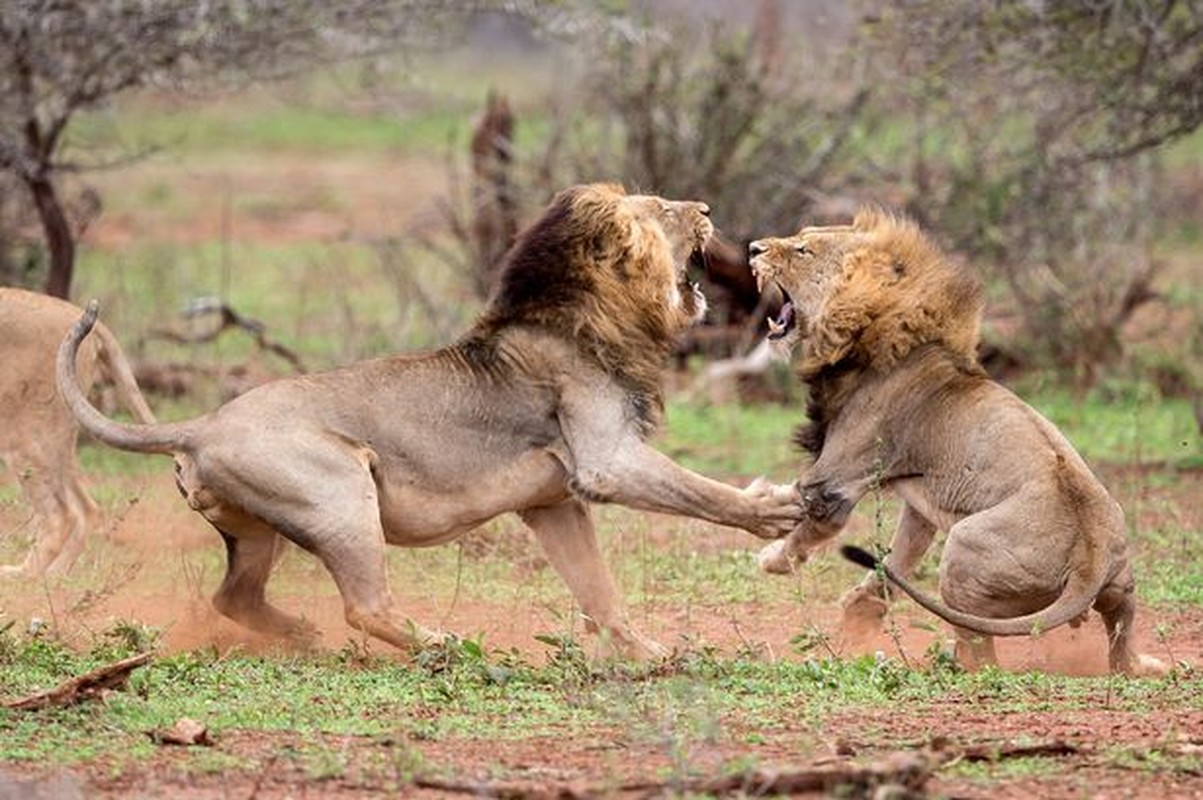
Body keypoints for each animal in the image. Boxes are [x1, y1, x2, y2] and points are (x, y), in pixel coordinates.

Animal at [54, 184, 798, 659]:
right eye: (664, 210)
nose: (707, 209)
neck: (596, 314)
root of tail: (200, 425)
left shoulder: (553, 503)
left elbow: (598, 588)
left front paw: (648, 652)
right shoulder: (605, 460)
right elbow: (702, 491)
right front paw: (775, 510)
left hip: (259, 530)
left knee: (233, 599)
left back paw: (300, 635)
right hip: (340, 492)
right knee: (364, 605)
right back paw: (443, 644)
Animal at [750, 206, 1164, 673]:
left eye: (803, 250)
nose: (753, 248)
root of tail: (1089, 561)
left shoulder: (836, 479)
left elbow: (810, 523)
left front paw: (772, 556)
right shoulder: (919, 501)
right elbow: (898, 558)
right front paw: (859, 614)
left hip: (963, 551)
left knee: (981, 651)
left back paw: (949, 662)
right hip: (1121, 586)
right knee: (1119, 638)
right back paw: (1142, 665)